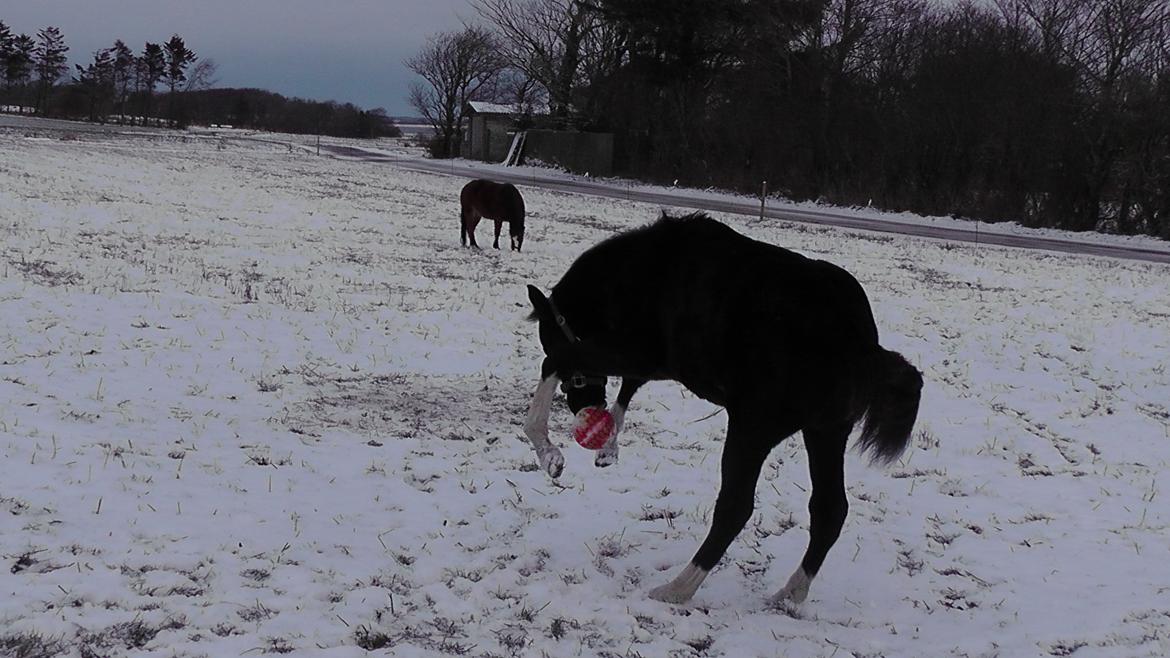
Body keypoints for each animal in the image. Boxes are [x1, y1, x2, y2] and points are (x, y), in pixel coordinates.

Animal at [524, 210, 921, 604]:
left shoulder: (636, 352)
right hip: (825, 432)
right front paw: (606, 448)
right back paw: (790, 594)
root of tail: (860, 342)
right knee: (829, 508)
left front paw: (550, 454)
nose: (586, 409)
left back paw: (676, 590)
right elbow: (627, 388)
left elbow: (559, 361)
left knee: (735, 507)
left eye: (549, 335)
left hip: (752, 429)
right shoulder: (650, 362)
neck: (645, 270)